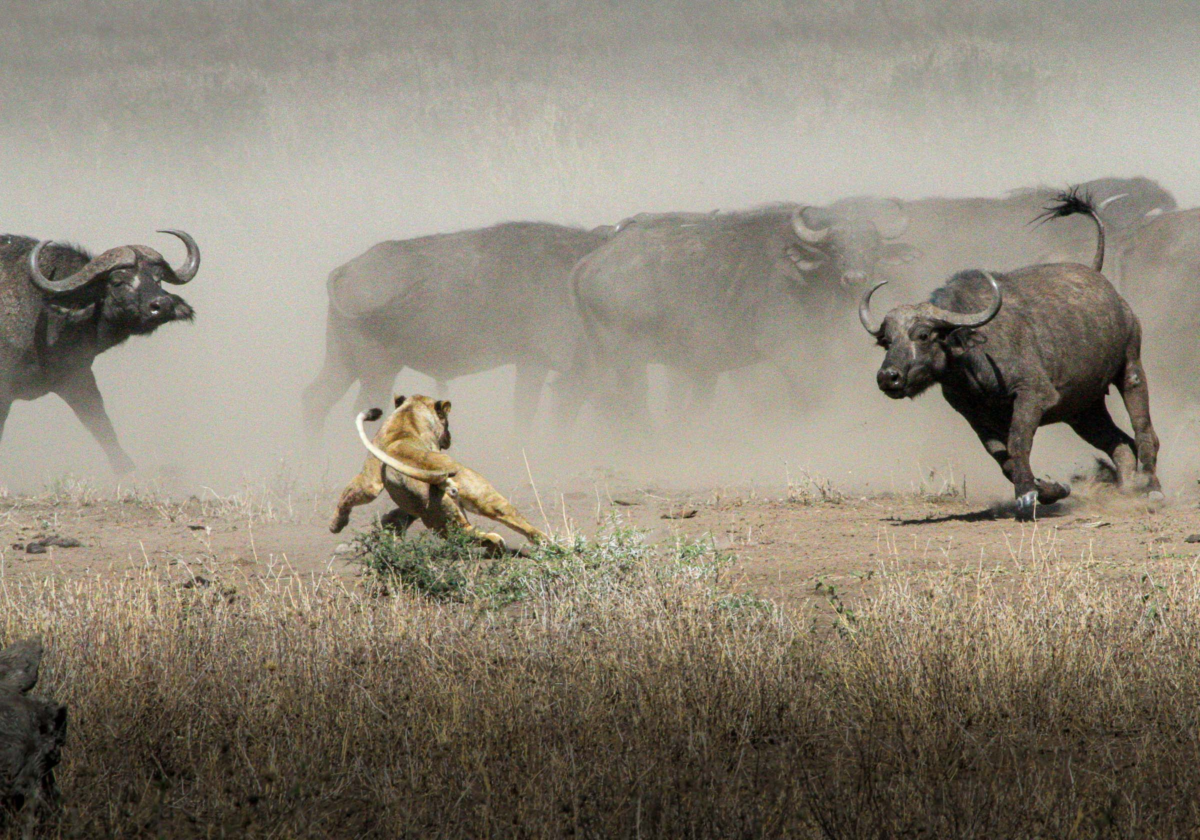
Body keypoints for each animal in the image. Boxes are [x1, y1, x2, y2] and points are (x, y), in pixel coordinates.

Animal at [301, 222, 613, 439]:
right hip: (377, 369)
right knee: (364, 409)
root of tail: (347, 270)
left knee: (317, 398)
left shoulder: (534, 364)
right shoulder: (548, 364)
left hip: (343, 359)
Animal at [329, 394, 549, 553]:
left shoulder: (371, 481)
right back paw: (537, 542)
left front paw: (336, 525)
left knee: (469, 533)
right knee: (500, 524)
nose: (449, 437)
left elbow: (348, 495)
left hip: (441, 515)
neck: (408, 414)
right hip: (472, 502)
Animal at [860, 191, 1161, 520]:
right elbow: (1002, 458)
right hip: (1083, 409)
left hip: (1131, 368)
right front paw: (1051, 489)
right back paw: (1127, 489)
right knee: (1120, 443)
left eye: (924, 335)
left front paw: (1027, 497)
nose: (887, 377)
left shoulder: (1033, 395)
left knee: (1144, 431)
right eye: (887, 341)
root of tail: (1100, 279)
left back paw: (1151, 488)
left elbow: (1018, 443)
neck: (971, 358)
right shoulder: (973, 415)